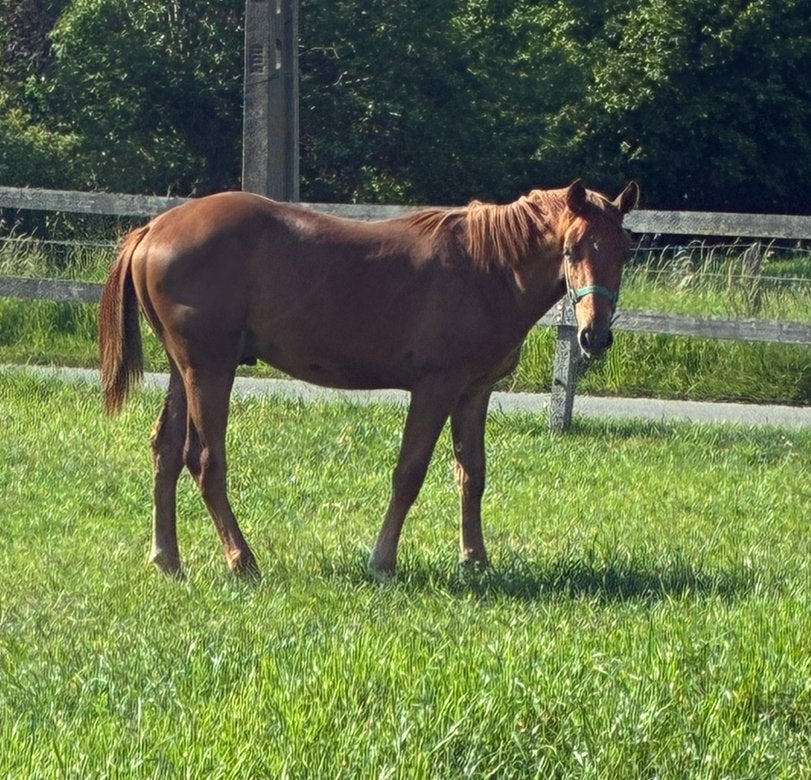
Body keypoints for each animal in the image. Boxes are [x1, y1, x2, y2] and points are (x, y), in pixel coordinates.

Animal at [99, 179, 639, 579]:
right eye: (571, 250)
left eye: (623, 251)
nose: (594, 336)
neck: (488, 268)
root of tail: (154, 227)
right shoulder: (436, 387)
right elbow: (409, 474)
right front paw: (382, 561)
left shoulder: (473, 391)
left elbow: (472, 474)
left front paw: (475, 560)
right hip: (209, 369)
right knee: (205, 460)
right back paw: (242, 560)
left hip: (182, 369)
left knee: (166, 451)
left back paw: (167, 559)